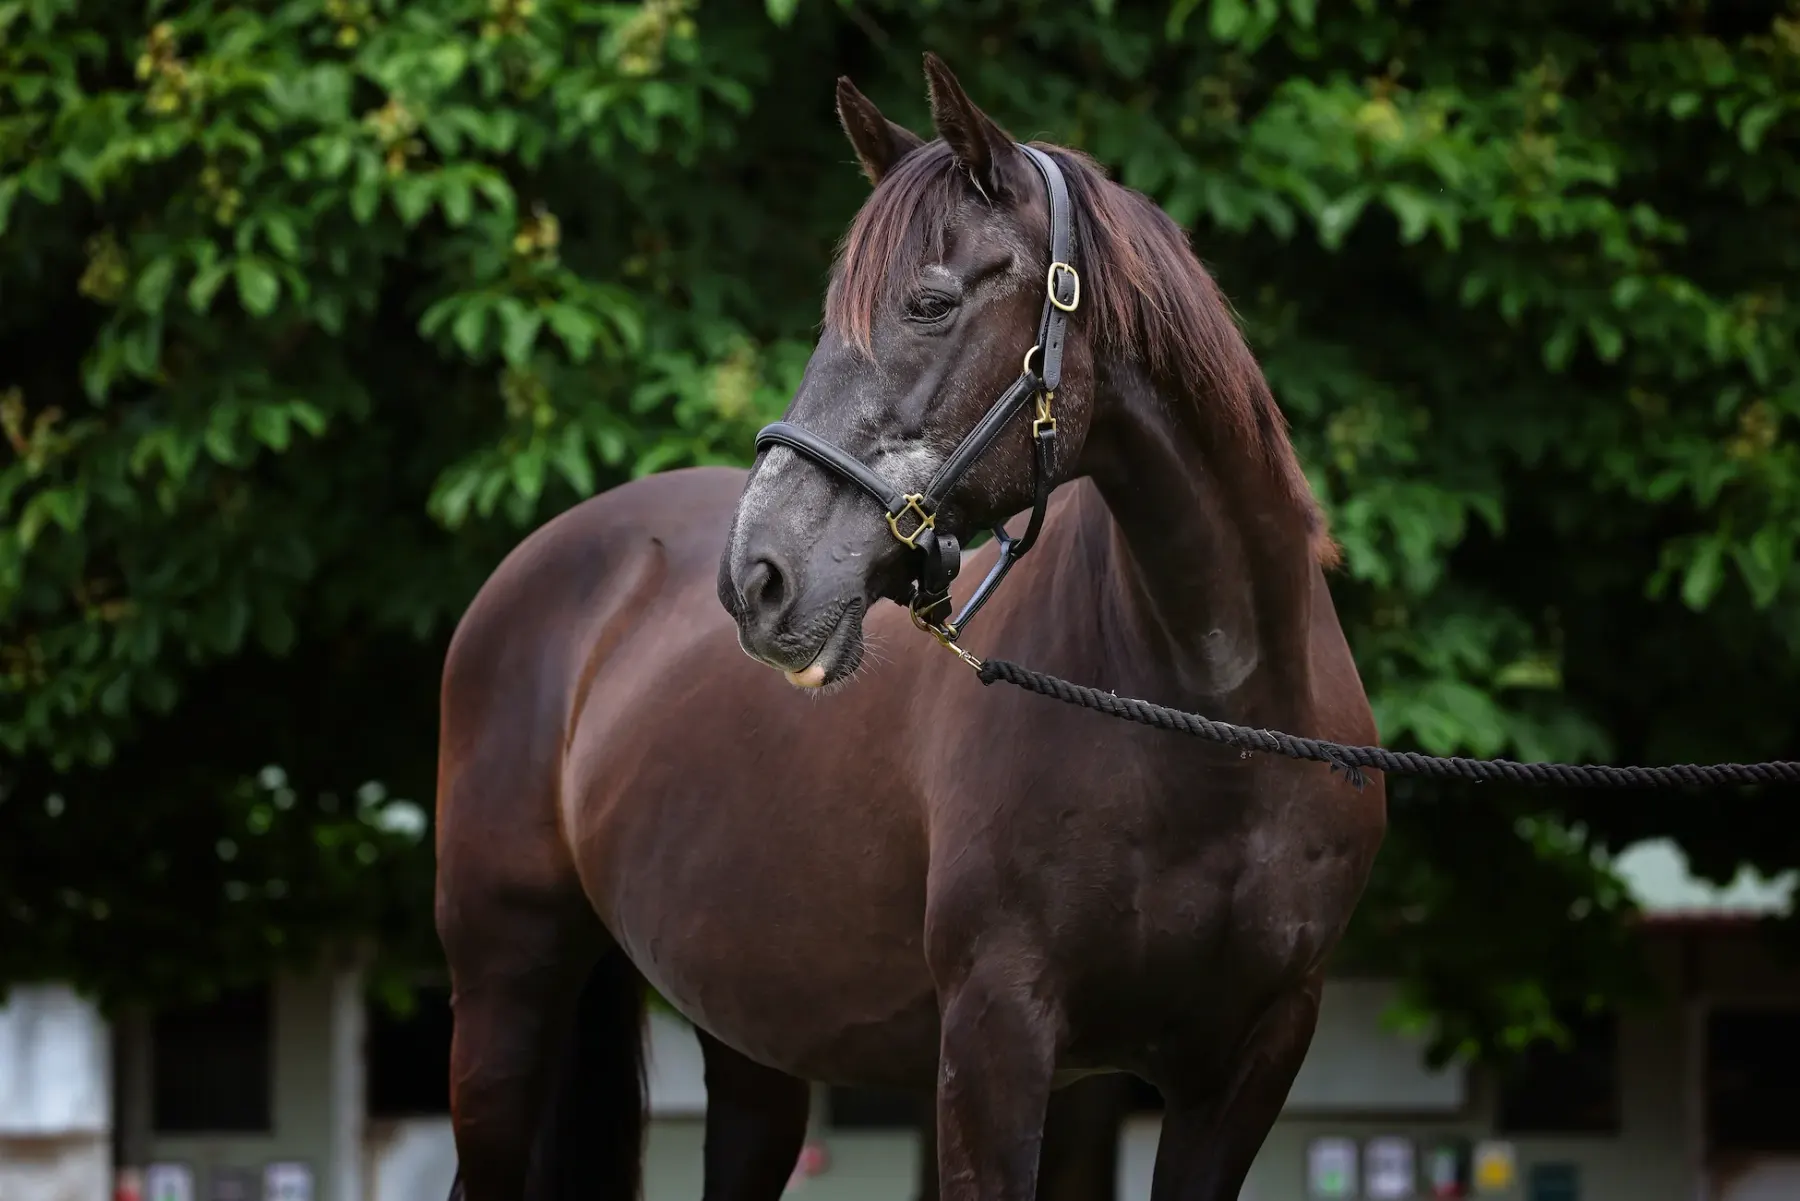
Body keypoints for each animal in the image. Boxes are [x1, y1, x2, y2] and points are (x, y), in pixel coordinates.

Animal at [434, 53, 1386, 1201]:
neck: (1219, 724)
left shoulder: (1246, 1062)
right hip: (505, 997)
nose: (759, 577)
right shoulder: (995, 1034)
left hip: (752, 1040)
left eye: (930, 301)